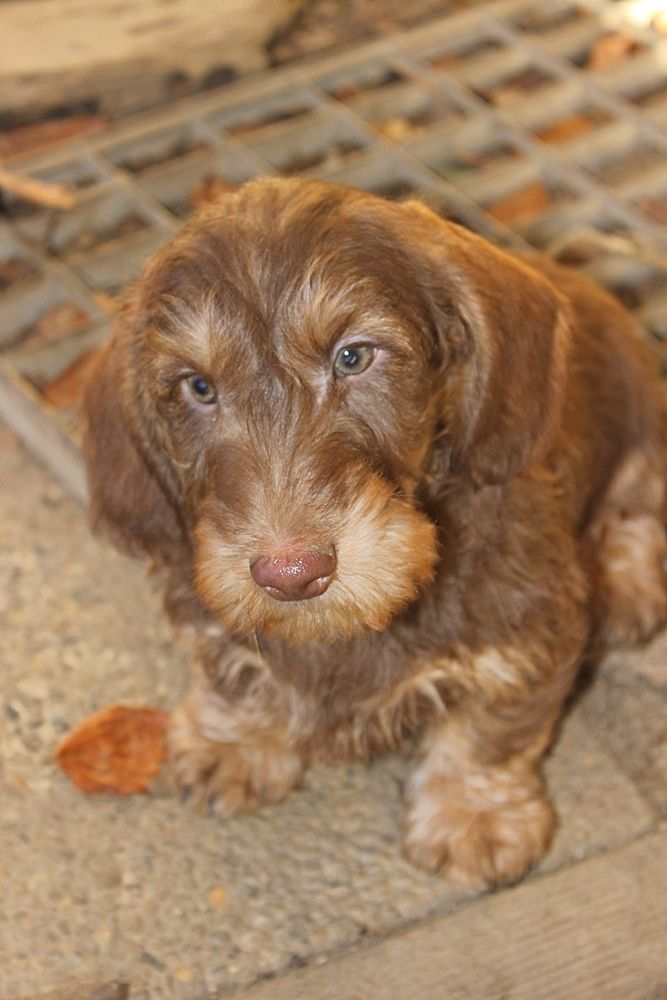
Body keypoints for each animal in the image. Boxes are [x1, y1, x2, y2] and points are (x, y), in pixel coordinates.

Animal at [82, 177, 667, 888]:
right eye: (198, 386)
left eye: (353, 356)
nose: (292, 574)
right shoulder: (207, 600)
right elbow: (231, 667)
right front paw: (234, 741)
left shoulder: (529, 627)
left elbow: (490, 730)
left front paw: (473, 815)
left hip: (642, 415)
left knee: (638, 504)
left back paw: (628, 585)